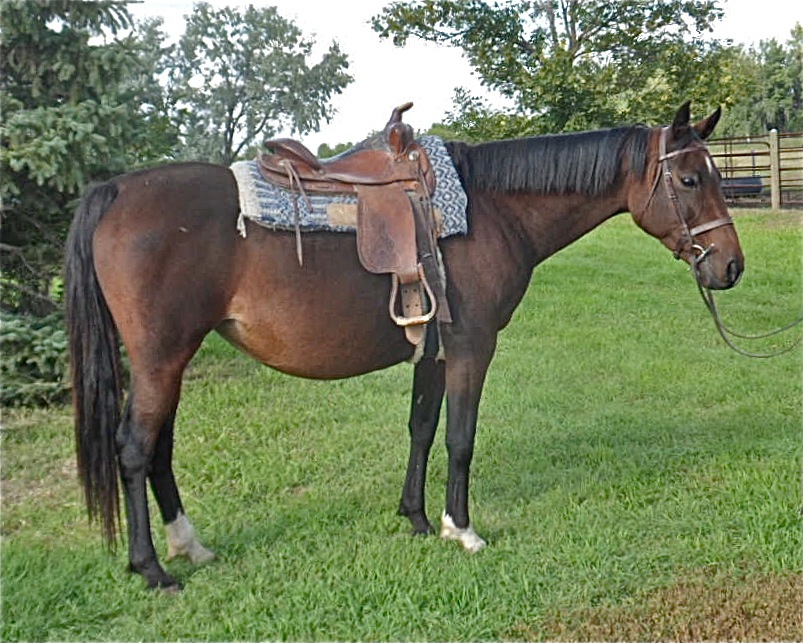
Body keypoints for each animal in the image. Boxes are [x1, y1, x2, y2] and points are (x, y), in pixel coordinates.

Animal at [65, 101, 744, 590]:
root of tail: (114, 192)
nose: (732, 267)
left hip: (171, 360)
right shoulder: (472, 347)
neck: (491, 210)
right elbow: (461, 438)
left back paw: (190, 545)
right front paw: (460, 529)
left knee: (158, 449)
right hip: (161, 359)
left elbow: (421, 428)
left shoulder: (435, 351)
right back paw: (153, 569)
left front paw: (415, 518)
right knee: (134, 449)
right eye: (689, 178)